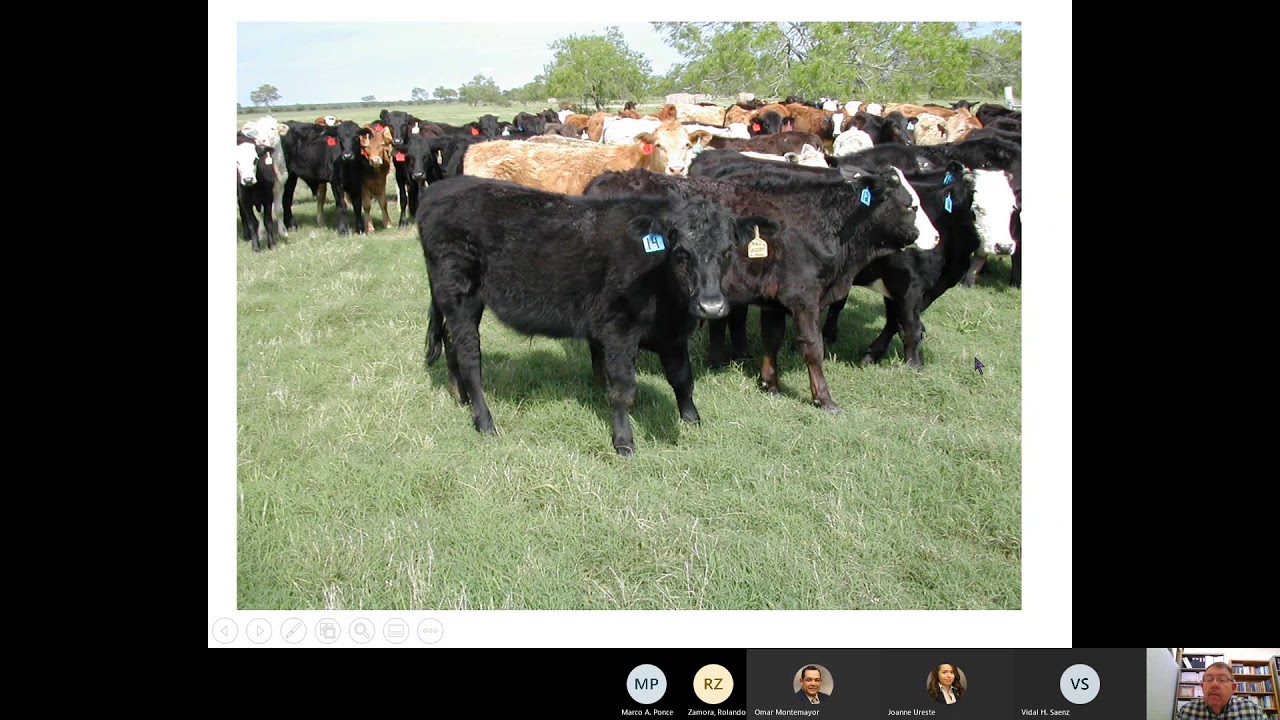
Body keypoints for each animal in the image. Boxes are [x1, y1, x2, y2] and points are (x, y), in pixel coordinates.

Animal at [418, 174, 771, 456]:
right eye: (681, 251)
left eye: (727, 251)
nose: (711, 305)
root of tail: (442, 187)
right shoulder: (617, 332)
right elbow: (623, 389)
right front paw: (624, 442)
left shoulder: (672, 334)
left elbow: (683, 379)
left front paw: (692, 420)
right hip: (460, 295)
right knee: (470, 356)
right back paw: (485, 422)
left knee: (450, 341)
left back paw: (460, 398)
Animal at [585, 163, 931, 413]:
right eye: (911, 206)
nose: (936, 236)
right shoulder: (804, 297)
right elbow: (814, 348)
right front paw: (825, 400)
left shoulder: (773, 300)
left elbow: (772, 338)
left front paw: (770, 385)